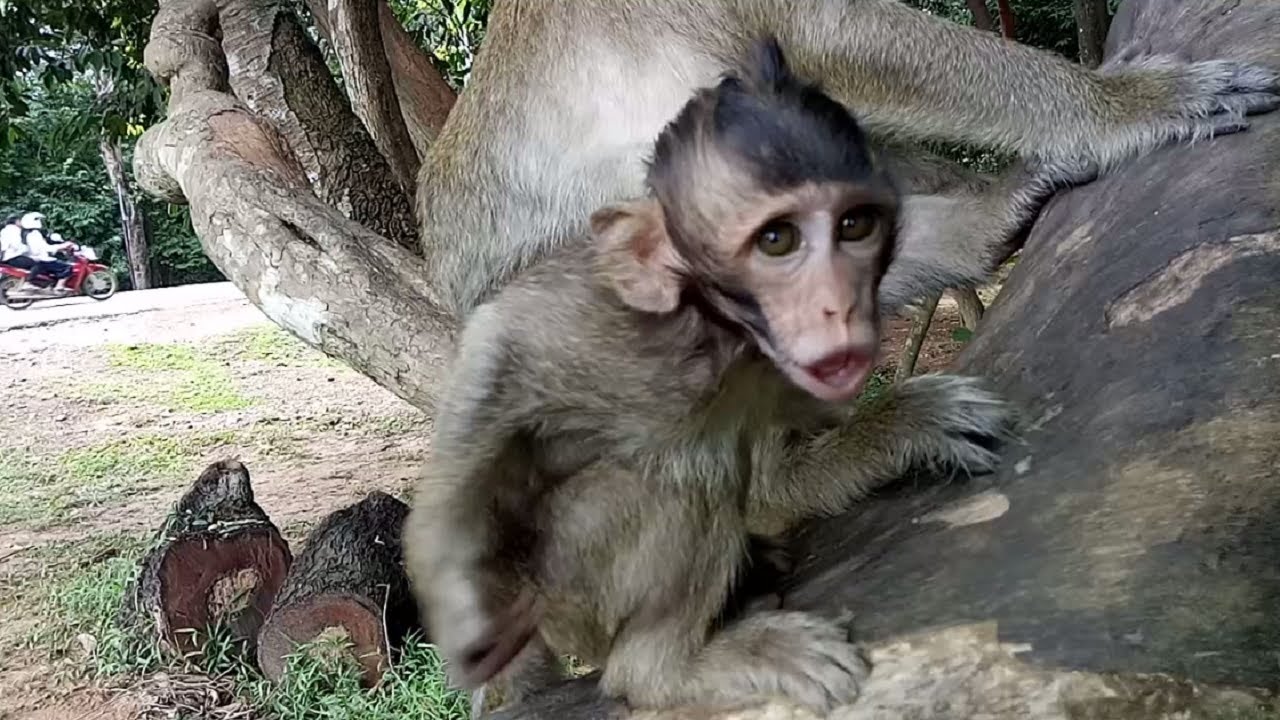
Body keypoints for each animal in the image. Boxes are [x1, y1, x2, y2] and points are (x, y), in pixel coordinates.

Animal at [405, 38, 1085, 716]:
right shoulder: (613, 330)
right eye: (776, 240)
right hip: (571, 594)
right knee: (688, 472)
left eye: (854, 228)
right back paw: (664, 671)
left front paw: (999, 214)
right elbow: (501, 339)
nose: (832, 304)